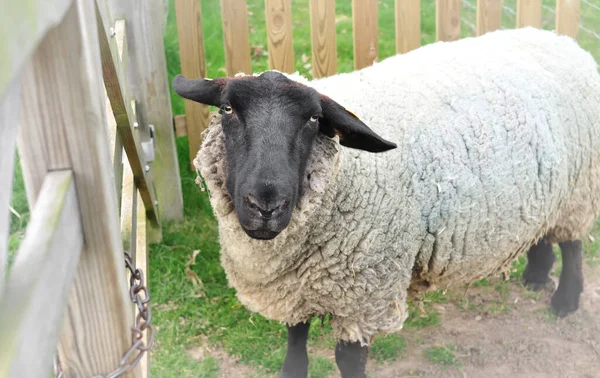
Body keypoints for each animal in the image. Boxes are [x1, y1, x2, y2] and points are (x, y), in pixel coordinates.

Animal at [172, 27, 600, 378]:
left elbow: (348, 359)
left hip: (579, 188)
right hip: (545, 190)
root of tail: (562, 41)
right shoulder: (294, 285)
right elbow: (295, 335)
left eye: (313, 120)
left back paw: (565, 299)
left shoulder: (366, 293)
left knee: (573, 243)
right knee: (543, 230)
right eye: (227, 109)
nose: (266, 205)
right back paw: (536, 275)